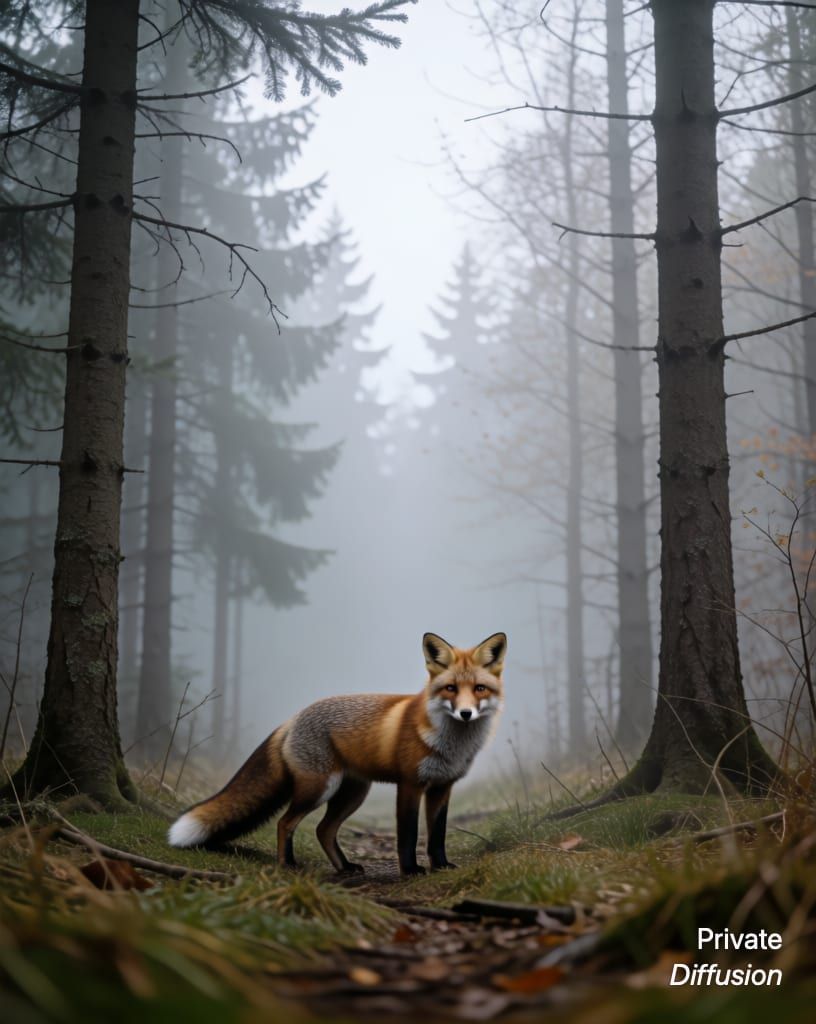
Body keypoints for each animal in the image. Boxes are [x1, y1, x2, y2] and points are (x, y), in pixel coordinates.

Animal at [168, 631, 506, 875]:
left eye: (479, 689)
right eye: (450, 689)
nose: (465, 714)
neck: (451, 743)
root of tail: (292, 718)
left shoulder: (442, 787)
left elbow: (437, 835)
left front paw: (441, 866)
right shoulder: (410, 785)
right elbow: (408, 835)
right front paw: (410, 870)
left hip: (353, 793)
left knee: (323, 830)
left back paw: (344, 867)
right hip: (319, 788)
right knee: (285, 823)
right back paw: (288, 864)